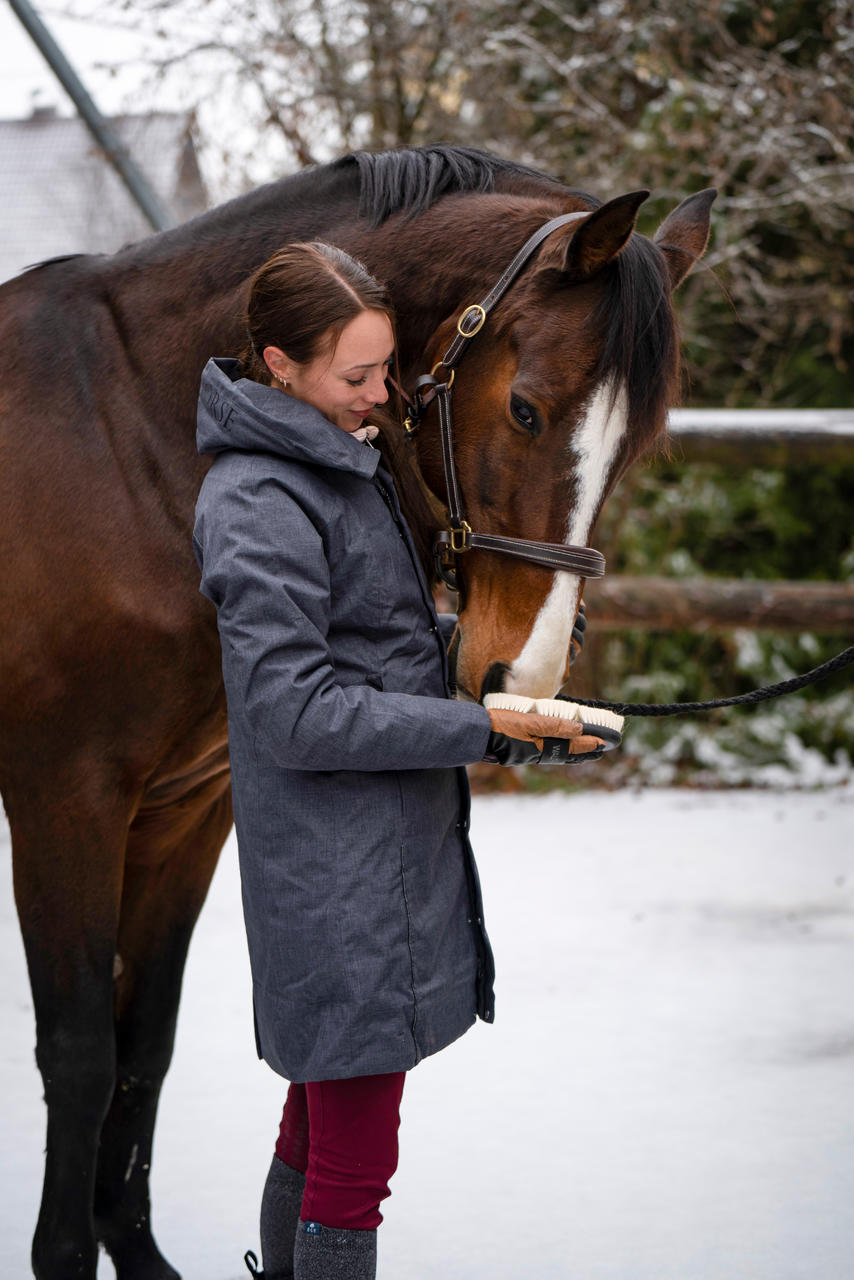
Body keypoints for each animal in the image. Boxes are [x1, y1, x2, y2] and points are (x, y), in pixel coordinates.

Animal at [0, 142, 717, 1280]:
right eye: (525, 408)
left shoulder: (186, 811)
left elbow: (142, 1042)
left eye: (634, 448)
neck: (131, 440)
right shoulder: (65, 803)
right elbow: (77, 1054)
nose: (520, 664)